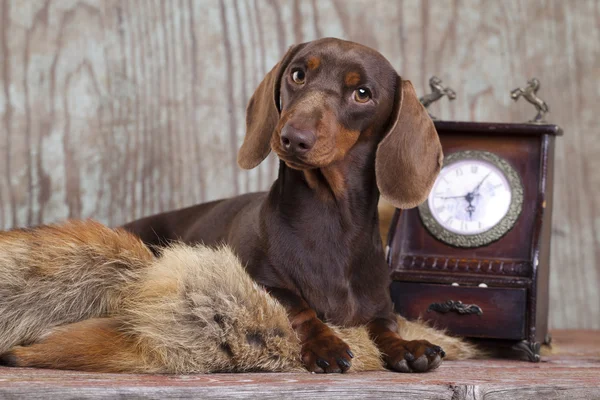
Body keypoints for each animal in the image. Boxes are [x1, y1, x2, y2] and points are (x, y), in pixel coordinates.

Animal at [125, 37, 446, 376]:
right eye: (298, 75)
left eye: (362, 93)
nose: (293, 137)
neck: (331, 221)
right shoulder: (260, 280)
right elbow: (298, 306)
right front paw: (326, 344)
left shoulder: (381, 305)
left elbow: (385, 325)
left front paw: (407, 347)